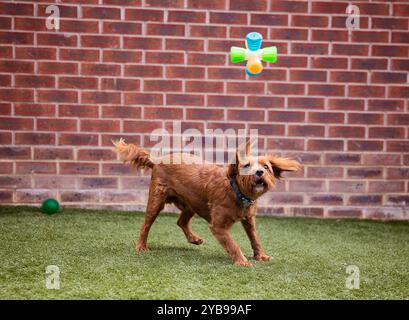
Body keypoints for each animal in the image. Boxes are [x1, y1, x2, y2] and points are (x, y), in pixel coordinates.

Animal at [112, 139, 300, 266]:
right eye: (246, 166)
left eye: (266, 167)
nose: (260, 172)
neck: (236, 190)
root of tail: (157, 161)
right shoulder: (218, 226)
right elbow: (233, 244)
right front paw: (242, 261)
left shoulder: (249, 220)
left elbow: (255, 239)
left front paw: (261, 256)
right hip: (156, 201)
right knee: (146, 225)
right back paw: (141, 246)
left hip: (192, 202)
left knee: (181, 221)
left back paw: (194, 239)